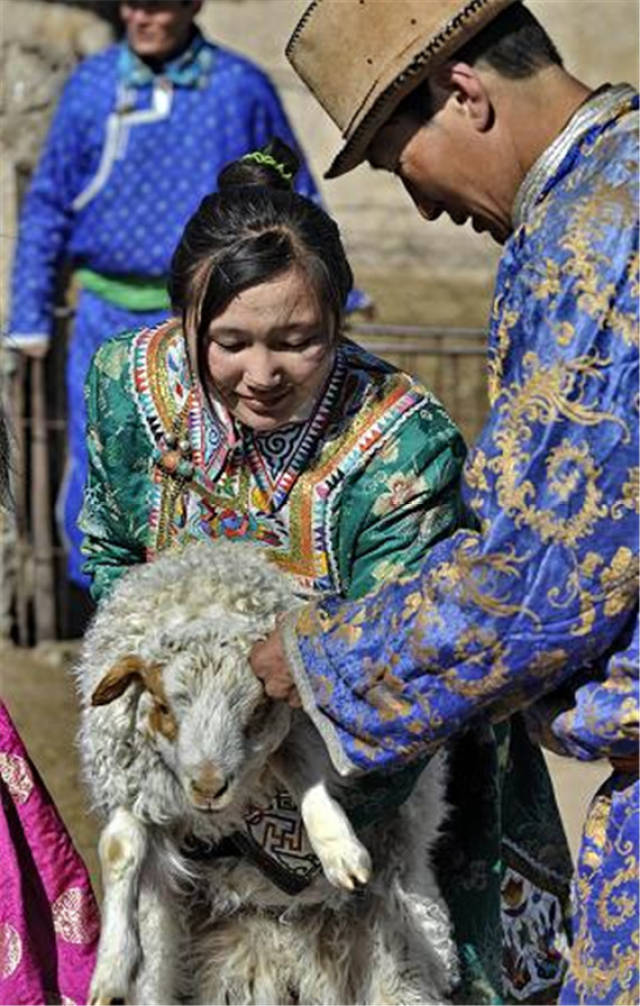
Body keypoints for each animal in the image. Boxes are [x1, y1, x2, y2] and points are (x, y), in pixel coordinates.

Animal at [73, 543, 454, 1006]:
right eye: (163, 706)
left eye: (256, 709)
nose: (208, 788)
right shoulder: (130, 778)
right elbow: (119, 849)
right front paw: (112, 970)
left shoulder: (296, 730)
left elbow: (307, 774)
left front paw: (339, 850)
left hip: (399, 947)